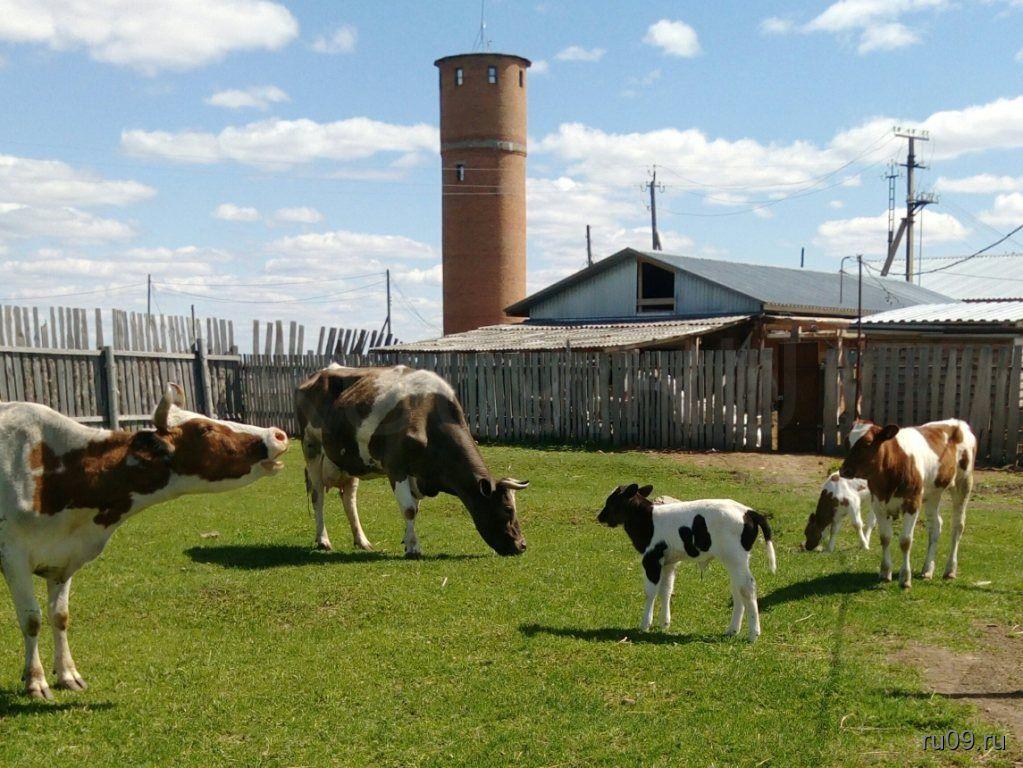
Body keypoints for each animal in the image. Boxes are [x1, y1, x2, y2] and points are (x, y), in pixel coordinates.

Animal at [0, 383, 289, 699]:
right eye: (204, 429)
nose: (277, 434)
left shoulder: (64, 557)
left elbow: (60, 615)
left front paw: (67, 674)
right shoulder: (13, 556)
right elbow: (32, 619)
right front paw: (35, 681)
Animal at [295, 364, 528, 558]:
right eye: (508, 509)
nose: (522, 545)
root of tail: (320, 372)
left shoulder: (419, 476)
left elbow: (415, 508)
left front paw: (408, 542)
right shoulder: (395, 467)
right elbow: (409, 509)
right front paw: (414, 548)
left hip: (349, 462)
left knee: (349, 500)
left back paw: (362, 541)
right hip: (311, 447)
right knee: (317, 495)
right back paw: (323, 540)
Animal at [839, 418, 976, 589]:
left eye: (868, 442)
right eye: (846, 441)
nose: (844, 470)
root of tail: (958, 422)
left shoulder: (912, 503)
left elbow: (905, 541)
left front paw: (905, 578)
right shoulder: (878, 504)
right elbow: (885, 538)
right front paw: (885, 573)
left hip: (963, 483)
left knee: (957, 526)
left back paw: (950, 570)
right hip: (932, 493)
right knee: (935, 525)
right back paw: (927, 569)